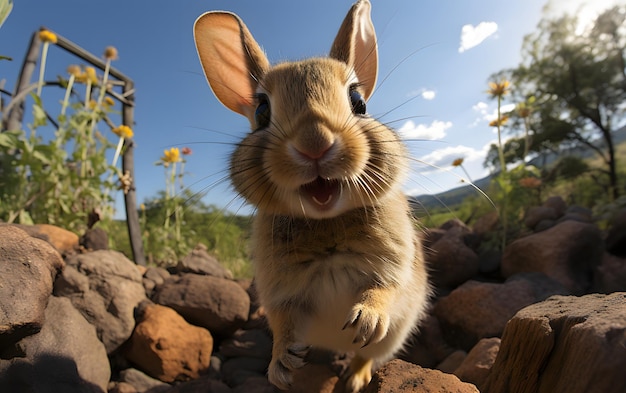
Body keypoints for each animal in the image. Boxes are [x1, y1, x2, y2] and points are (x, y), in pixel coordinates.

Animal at [194, 1, 428, 390]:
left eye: (358, 101)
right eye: (262, 111)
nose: (315, 142)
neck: (326, 222)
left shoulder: (394, 266)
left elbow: (383, 290)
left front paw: (365, 319)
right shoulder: (282, 295)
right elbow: (284, 325)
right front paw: (281, 366)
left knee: (368, 354)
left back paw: (355, 378)